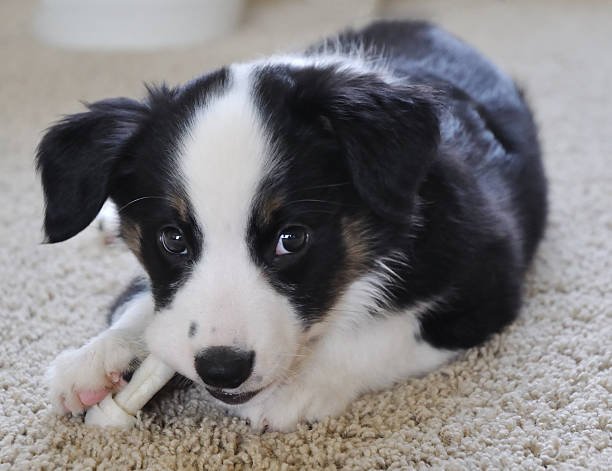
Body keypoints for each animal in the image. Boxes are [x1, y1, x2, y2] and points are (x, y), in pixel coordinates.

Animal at [37, 20, 544, 432]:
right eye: (173, 239)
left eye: (291, 239)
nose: (222, 369)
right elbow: (147, 303)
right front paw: (94, 359)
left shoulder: (487, 274)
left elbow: (385, 333)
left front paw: (297, 386)